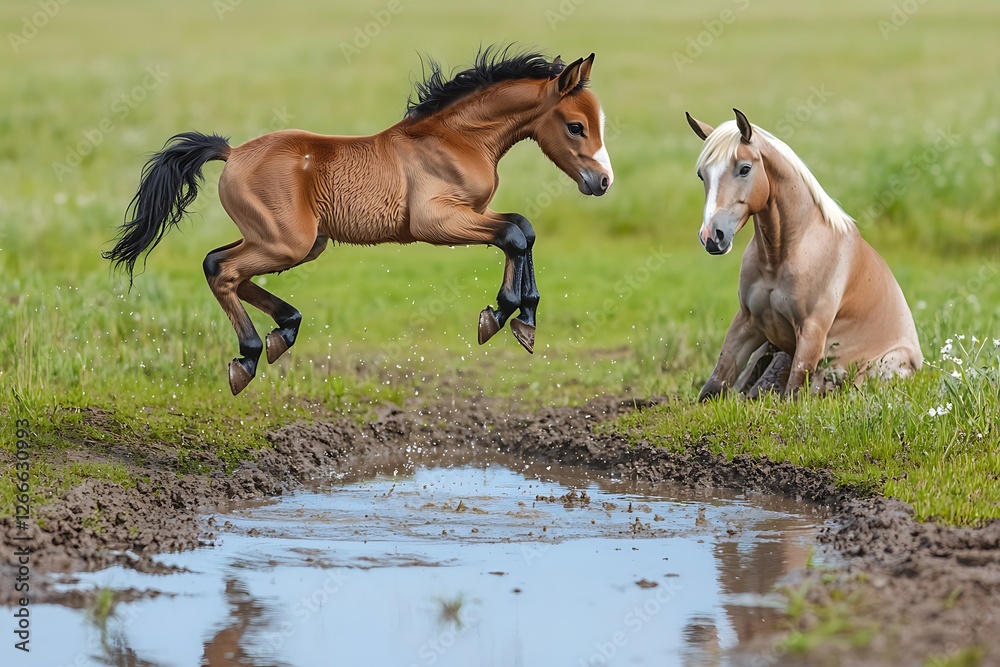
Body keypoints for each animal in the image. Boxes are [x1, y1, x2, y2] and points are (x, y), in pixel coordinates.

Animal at [104, 48, 614, 395]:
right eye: (575, 126)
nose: (603, 181)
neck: (456, 139)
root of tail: (233, 152)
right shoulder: (435, 222)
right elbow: (512, 235)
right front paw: (501, 314)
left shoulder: (472, 212)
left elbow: (523, 229)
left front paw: (524, 319)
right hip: (288, 242)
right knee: (224, 270)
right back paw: (248, 357)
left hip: (295, 243)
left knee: (216, 263)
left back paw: (283, 331)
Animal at [685, 109, 922, 400]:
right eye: (702, 175)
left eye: (745, 168)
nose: (711, 236)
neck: (783, 254)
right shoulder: (747, 323)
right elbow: (714, 385)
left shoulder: (810, 333)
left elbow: (793, 393)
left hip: (882, 367)